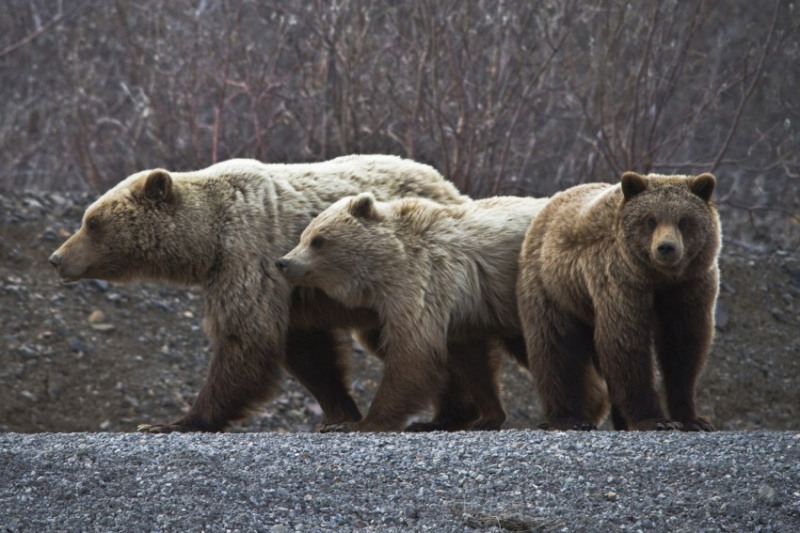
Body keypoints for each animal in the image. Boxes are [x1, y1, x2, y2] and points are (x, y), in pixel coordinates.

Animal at [48, 155, 482, 432]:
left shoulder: (249, 253)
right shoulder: (290, 291)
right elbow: (307, 352)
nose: (56, 258)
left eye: (92, 222)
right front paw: (340, 412)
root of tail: (453, 188)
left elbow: (247, 337)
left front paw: (171, 422)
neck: (208, 242)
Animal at [274, 192, 544, 432]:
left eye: (318, 240)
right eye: (303, 236)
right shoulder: (461, 312)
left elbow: (413, 352)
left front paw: (356, 424)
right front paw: (485, 417)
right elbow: (471, 362)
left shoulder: (424, 282)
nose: (283, 262)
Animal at [516, 172, 720, 430]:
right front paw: (655, 420)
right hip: (554, 289)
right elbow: (626, 342)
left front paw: (694, 419)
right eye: (650, 219)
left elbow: (683, 345)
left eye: (683, 220)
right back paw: (569, 418)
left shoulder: (688, 286)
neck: (658, 277)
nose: (666, 247)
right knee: (556, 349)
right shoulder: (620, 281)